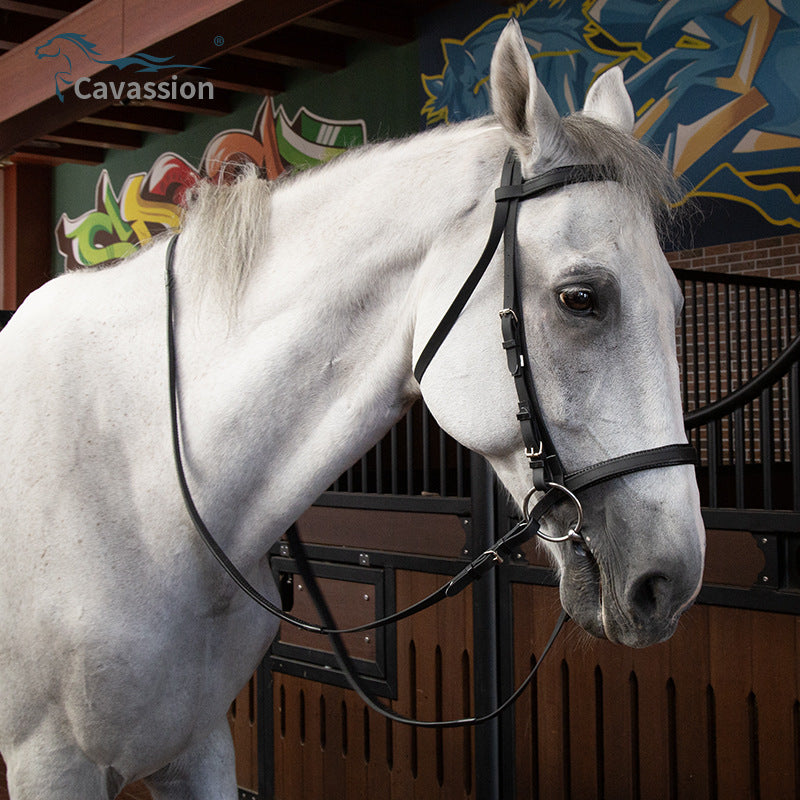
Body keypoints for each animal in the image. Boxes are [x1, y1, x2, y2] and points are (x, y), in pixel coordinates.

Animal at [0, 20, 704, 799]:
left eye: (677, 306)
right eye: (581, 298)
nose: (670, 582)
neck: (141, 485)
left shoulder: (197, 745)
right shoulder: (51, 762)